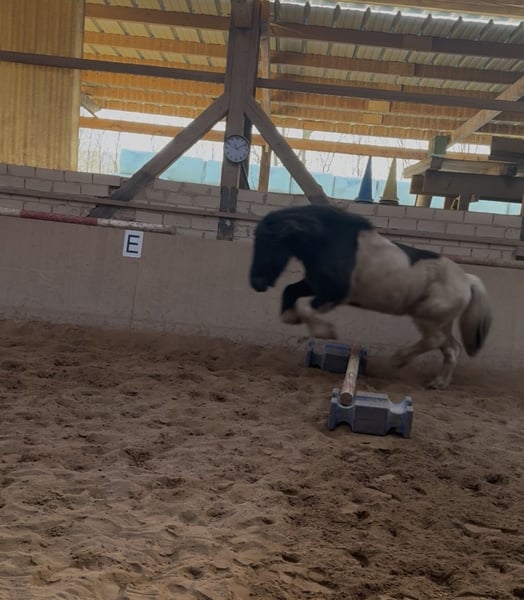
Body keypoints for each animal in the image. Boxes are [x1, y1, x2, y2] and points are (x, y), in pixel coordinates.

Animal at [249, 204, 492, 389]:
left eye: (270, 242)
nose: (256, 283)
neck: (328, 241)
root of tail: (467, 280)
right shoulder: (315, 284)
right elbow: (290, 290)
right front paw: (291, 317)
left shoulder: (334, 293)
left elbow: (307, 307)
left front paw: (325, 331)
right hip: (441, 321)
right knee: (451, 348)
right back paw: (438, 382)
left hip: (428, 318)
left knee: (435, 341)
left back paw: (393, 362)